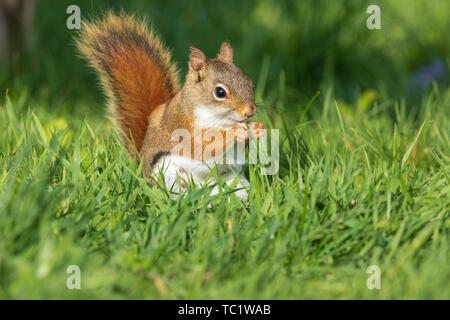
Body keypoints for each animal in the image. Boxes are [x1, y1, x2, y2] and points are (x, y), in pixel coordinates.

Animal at [75, 13, 266, 200]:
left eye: (249, 82)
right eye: (220, 92)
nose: (250, 112)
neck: (221, 120)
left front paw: (257, 127)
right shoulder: (184, 127)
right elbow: (202, 148)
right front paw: (234, 133)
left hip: (236, 182)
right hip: (167, 173)